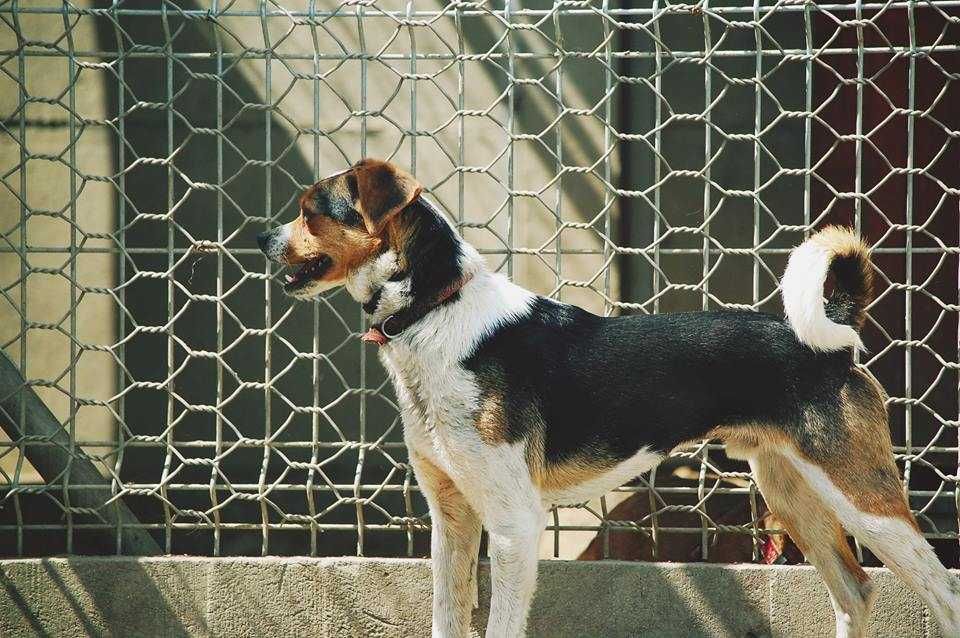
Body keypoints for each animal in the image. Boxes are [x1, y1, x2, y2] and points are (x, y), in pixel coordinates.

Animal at [256, 160, 960, 638]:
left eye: (312, 209)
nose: (261, 238)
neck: (436, 311)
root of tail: (834, 341)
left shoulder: (513, 525)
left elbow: (500, 623)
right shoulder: (451, 518)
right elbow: (447, 617)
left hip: (863, 498)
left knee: (940, 588)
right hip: (793, 492)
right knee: (855, 590)